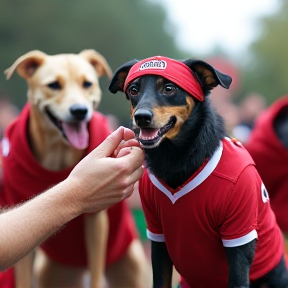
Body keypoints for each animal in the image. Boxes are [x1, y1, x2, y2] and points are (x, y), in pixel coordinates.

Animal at [3, 50, 148, 286]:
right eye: (53, 85)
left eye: (87, 83)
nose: (79, 111)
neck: (58, 153)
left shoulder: (96, 220)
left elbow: (97, 274)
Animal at [109, 55, 288, 286]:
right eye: (133, 89)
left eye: (169, 88)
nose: (141, 117)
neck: (178, 158)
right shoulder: (157, 238)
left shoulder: (238, 241)